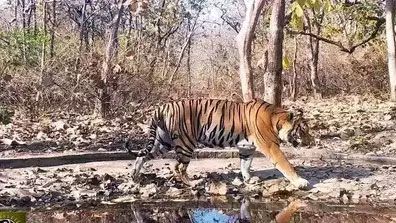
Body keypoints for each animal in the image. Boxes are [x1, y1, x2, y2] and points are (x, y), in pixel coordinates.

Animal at [125, 98, 314, 189]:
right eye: (303, 130)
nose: (311, 142)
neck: (275, 119)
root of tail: (161, 107)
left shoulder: (246, 147)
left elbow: (245, 164)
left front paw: (248, 179)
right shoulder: (270, 146)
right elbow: (286, 164)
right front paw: (300, 182)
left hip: (163, 142)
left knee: (142, 156)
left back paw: (134, 176)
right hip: (186, 143)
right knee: (178, 167)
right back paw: (192, 184)